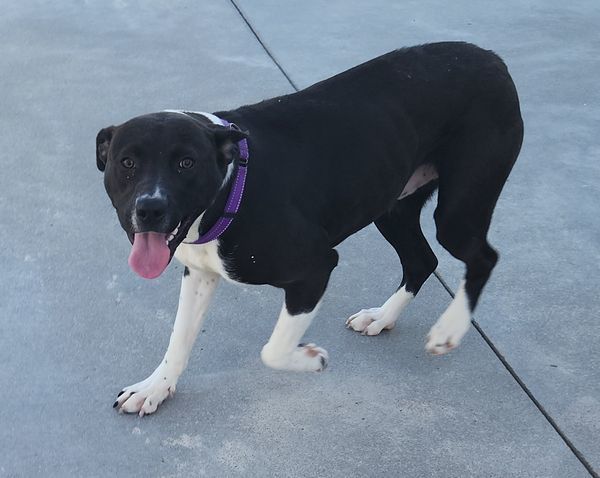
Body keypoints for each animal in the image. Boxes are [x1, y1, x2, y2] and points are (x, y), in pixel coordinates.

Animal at [97, 42, 520, 414]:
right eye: (126, 162)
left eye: (186, 163)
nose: (150, 209)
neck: (230, 187)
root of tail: (491, 58)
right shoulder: (200, 272)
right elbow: (179, 337)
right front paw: (155, 387)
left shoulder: (315, 266)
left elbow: (273, 350)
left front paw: (312, 358)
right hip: (392, 205)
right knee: (422, 260)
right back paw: (383, 317)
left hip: (458, 211)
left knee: (482, 257)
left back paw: (449, 330)